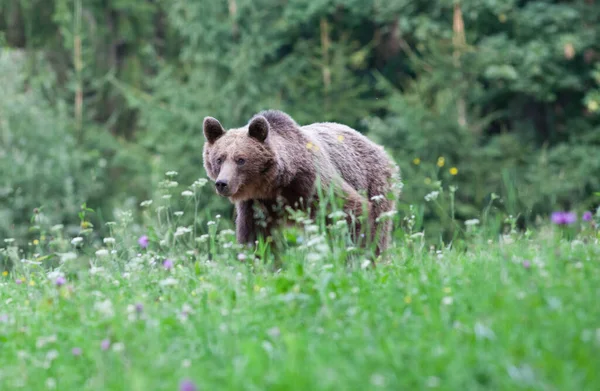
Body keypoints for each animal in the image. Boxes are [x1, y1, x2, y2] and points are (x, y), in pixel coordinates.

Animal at [203, 109, 404, 258]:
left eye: (241, 159)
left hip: (375, 184)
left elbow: (351, 211)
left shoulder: (312, 182)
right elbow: (255, 237)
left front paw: (355, 254)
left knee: (379, 227)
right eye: (219, 158)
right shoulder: (255, 204)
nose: (222, 183)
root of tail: (378, 147)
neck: (276, 185)